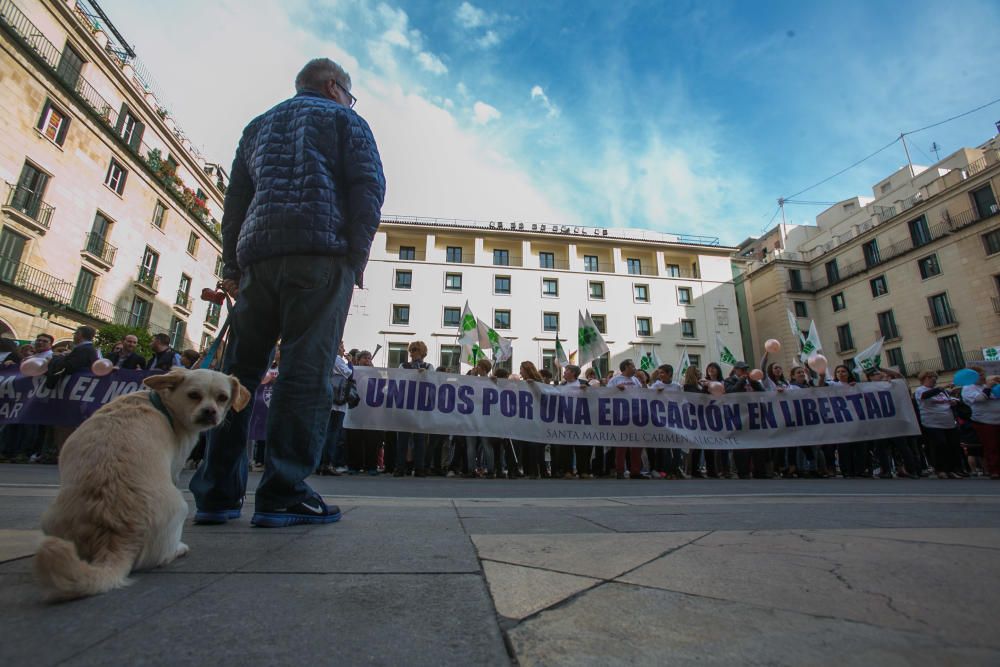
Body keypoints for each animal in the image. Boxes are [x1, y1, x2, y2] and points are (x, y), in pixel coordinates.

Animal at [32, 368, 250, 604]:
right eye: (193, 395)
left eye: (222, 398)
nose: (210, 412)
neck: (159, 403)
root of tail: (115, 537)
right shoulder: (175, 466)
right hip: (180, 505)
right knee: (162, 557)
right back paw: (178, 549)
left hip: (50, 518)